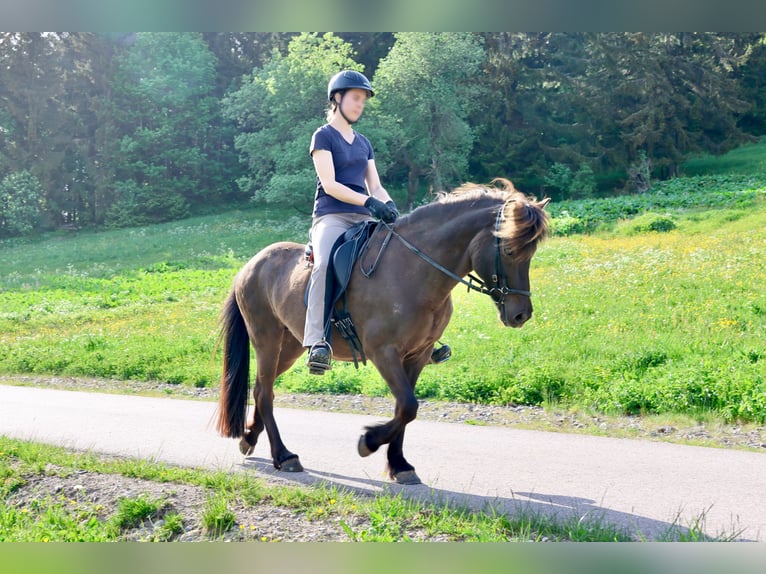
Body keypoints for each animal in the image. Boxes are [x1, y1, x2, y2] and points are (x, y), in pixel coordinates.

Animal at [215, 178, 550, 485]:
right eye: (509, 250)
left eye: (531, 252)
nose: (521, 314)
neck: (414, 270)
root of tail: (251, 264)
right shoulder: (383, 352)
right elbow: (408, 406)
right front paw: (369, 442)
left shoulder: (418, 354)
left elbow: (406, 408)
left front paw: (399, 465)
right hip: (267, 340)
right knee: (265, 393)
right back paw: (284, 456)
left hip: (290, 348)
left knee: (262, 388)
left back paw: (249, 438)